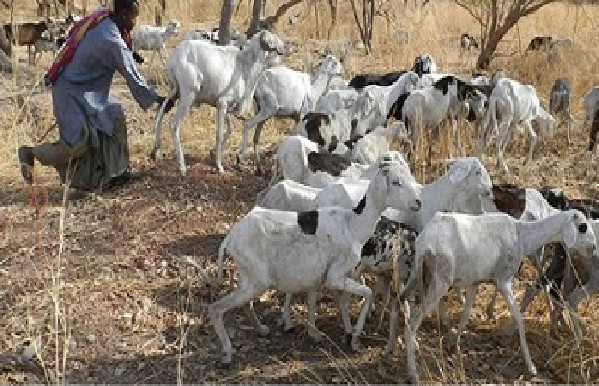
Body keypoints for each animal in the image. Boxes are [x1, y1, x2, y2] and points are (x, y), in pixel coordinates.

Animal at [154, 30, 288, 175]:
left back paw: (155, 151)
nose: (285, 48)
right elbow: (219, 133)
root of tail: (175, 57)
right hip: (187, 96)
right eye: (273, 39)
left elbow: (229, 129)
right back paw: (182, 167)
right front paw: (219, 166)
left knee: (159, 115)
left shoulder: (224, 107)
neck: (246, 65)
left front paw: (214, 155)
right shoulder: (222, 104)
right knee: (174, 125)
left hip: (173, 93)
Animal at [210, 154, 422, 362]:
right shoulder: (336, 276)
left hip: (249, 279)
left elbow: (313, 301)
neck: (353, 224)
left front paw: (315, 333)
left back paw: (261, 329)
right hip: (257, 281)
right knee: (216, 309)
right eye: (396, 181)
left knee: (245, 304)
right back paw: (227, 351)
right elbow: (367, 293)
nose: (418, 202)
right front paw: (354, 337)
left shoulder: (317, 277)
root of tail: (230, 238)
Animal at [400, 210, 596, 382]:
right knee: (413, 321)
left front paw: (454, 344)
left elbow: (466, 314)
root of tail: (426, 242)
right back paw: (412, 372)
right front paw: (531, 366)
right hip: (440, 280)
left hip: (415, 274)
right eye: (582, 227)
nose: (594, 248)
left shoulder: (475, 281)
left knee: (400, 301)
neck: (521, 235)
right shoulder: (503, 280)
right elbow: (519, 318)